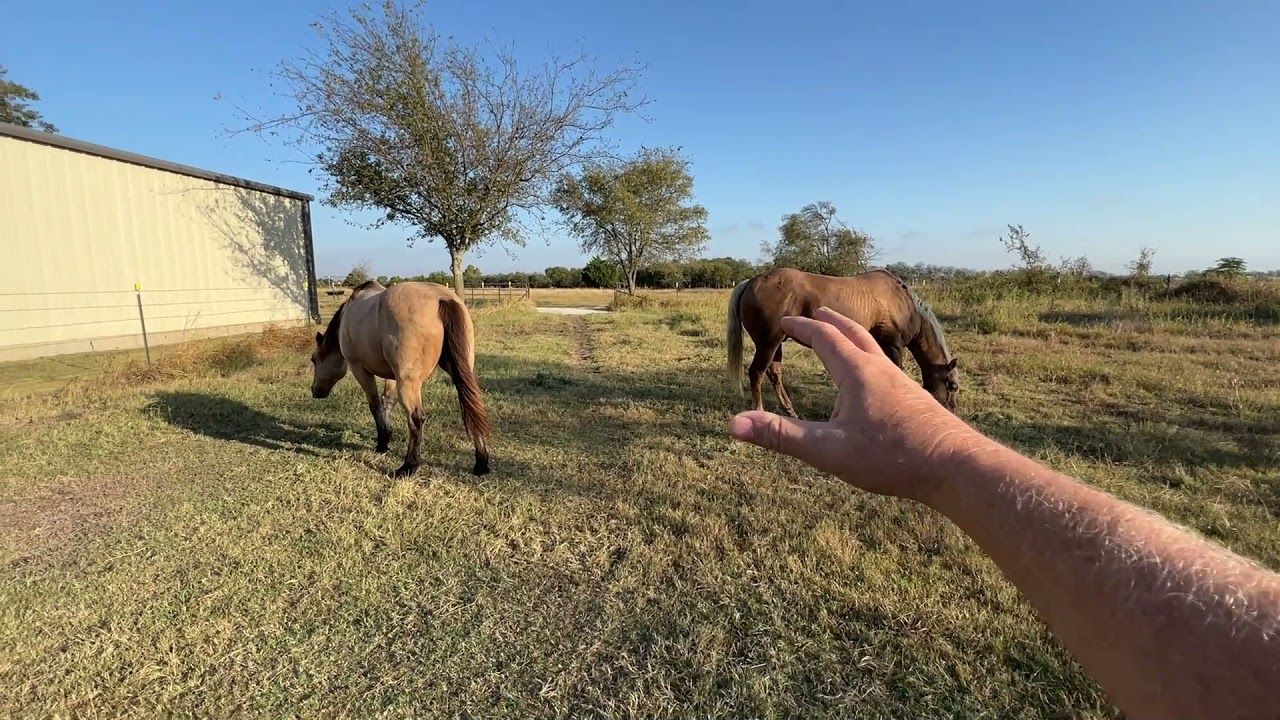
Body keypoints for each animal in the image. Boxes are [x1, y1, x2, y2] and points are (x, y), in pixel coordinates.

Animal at [309, 280, 492, 477]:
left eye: (314, 359)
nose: (315, 391)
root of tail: (442, 298)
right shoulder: (391, 375)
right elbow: (387, 402)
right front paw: (387, 436)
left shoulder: (359, 368)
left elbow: (375, 405)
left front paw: (382, 443)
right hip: (460, 371)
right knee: (471, 407)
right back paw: (481, 463)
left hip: (407, 382)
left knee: (416, 419)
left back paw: (408, 466)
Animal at [725, 267, 959, 416]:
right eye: (953, 386)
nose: (952, 411)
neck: (903, 305)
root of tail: (750, 282)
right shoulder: (893, 344)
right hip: (768, 343)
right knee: (756, 373)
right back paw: (759, 410)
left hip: (777, 344)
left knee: (775, 374)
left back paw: (790, 411)